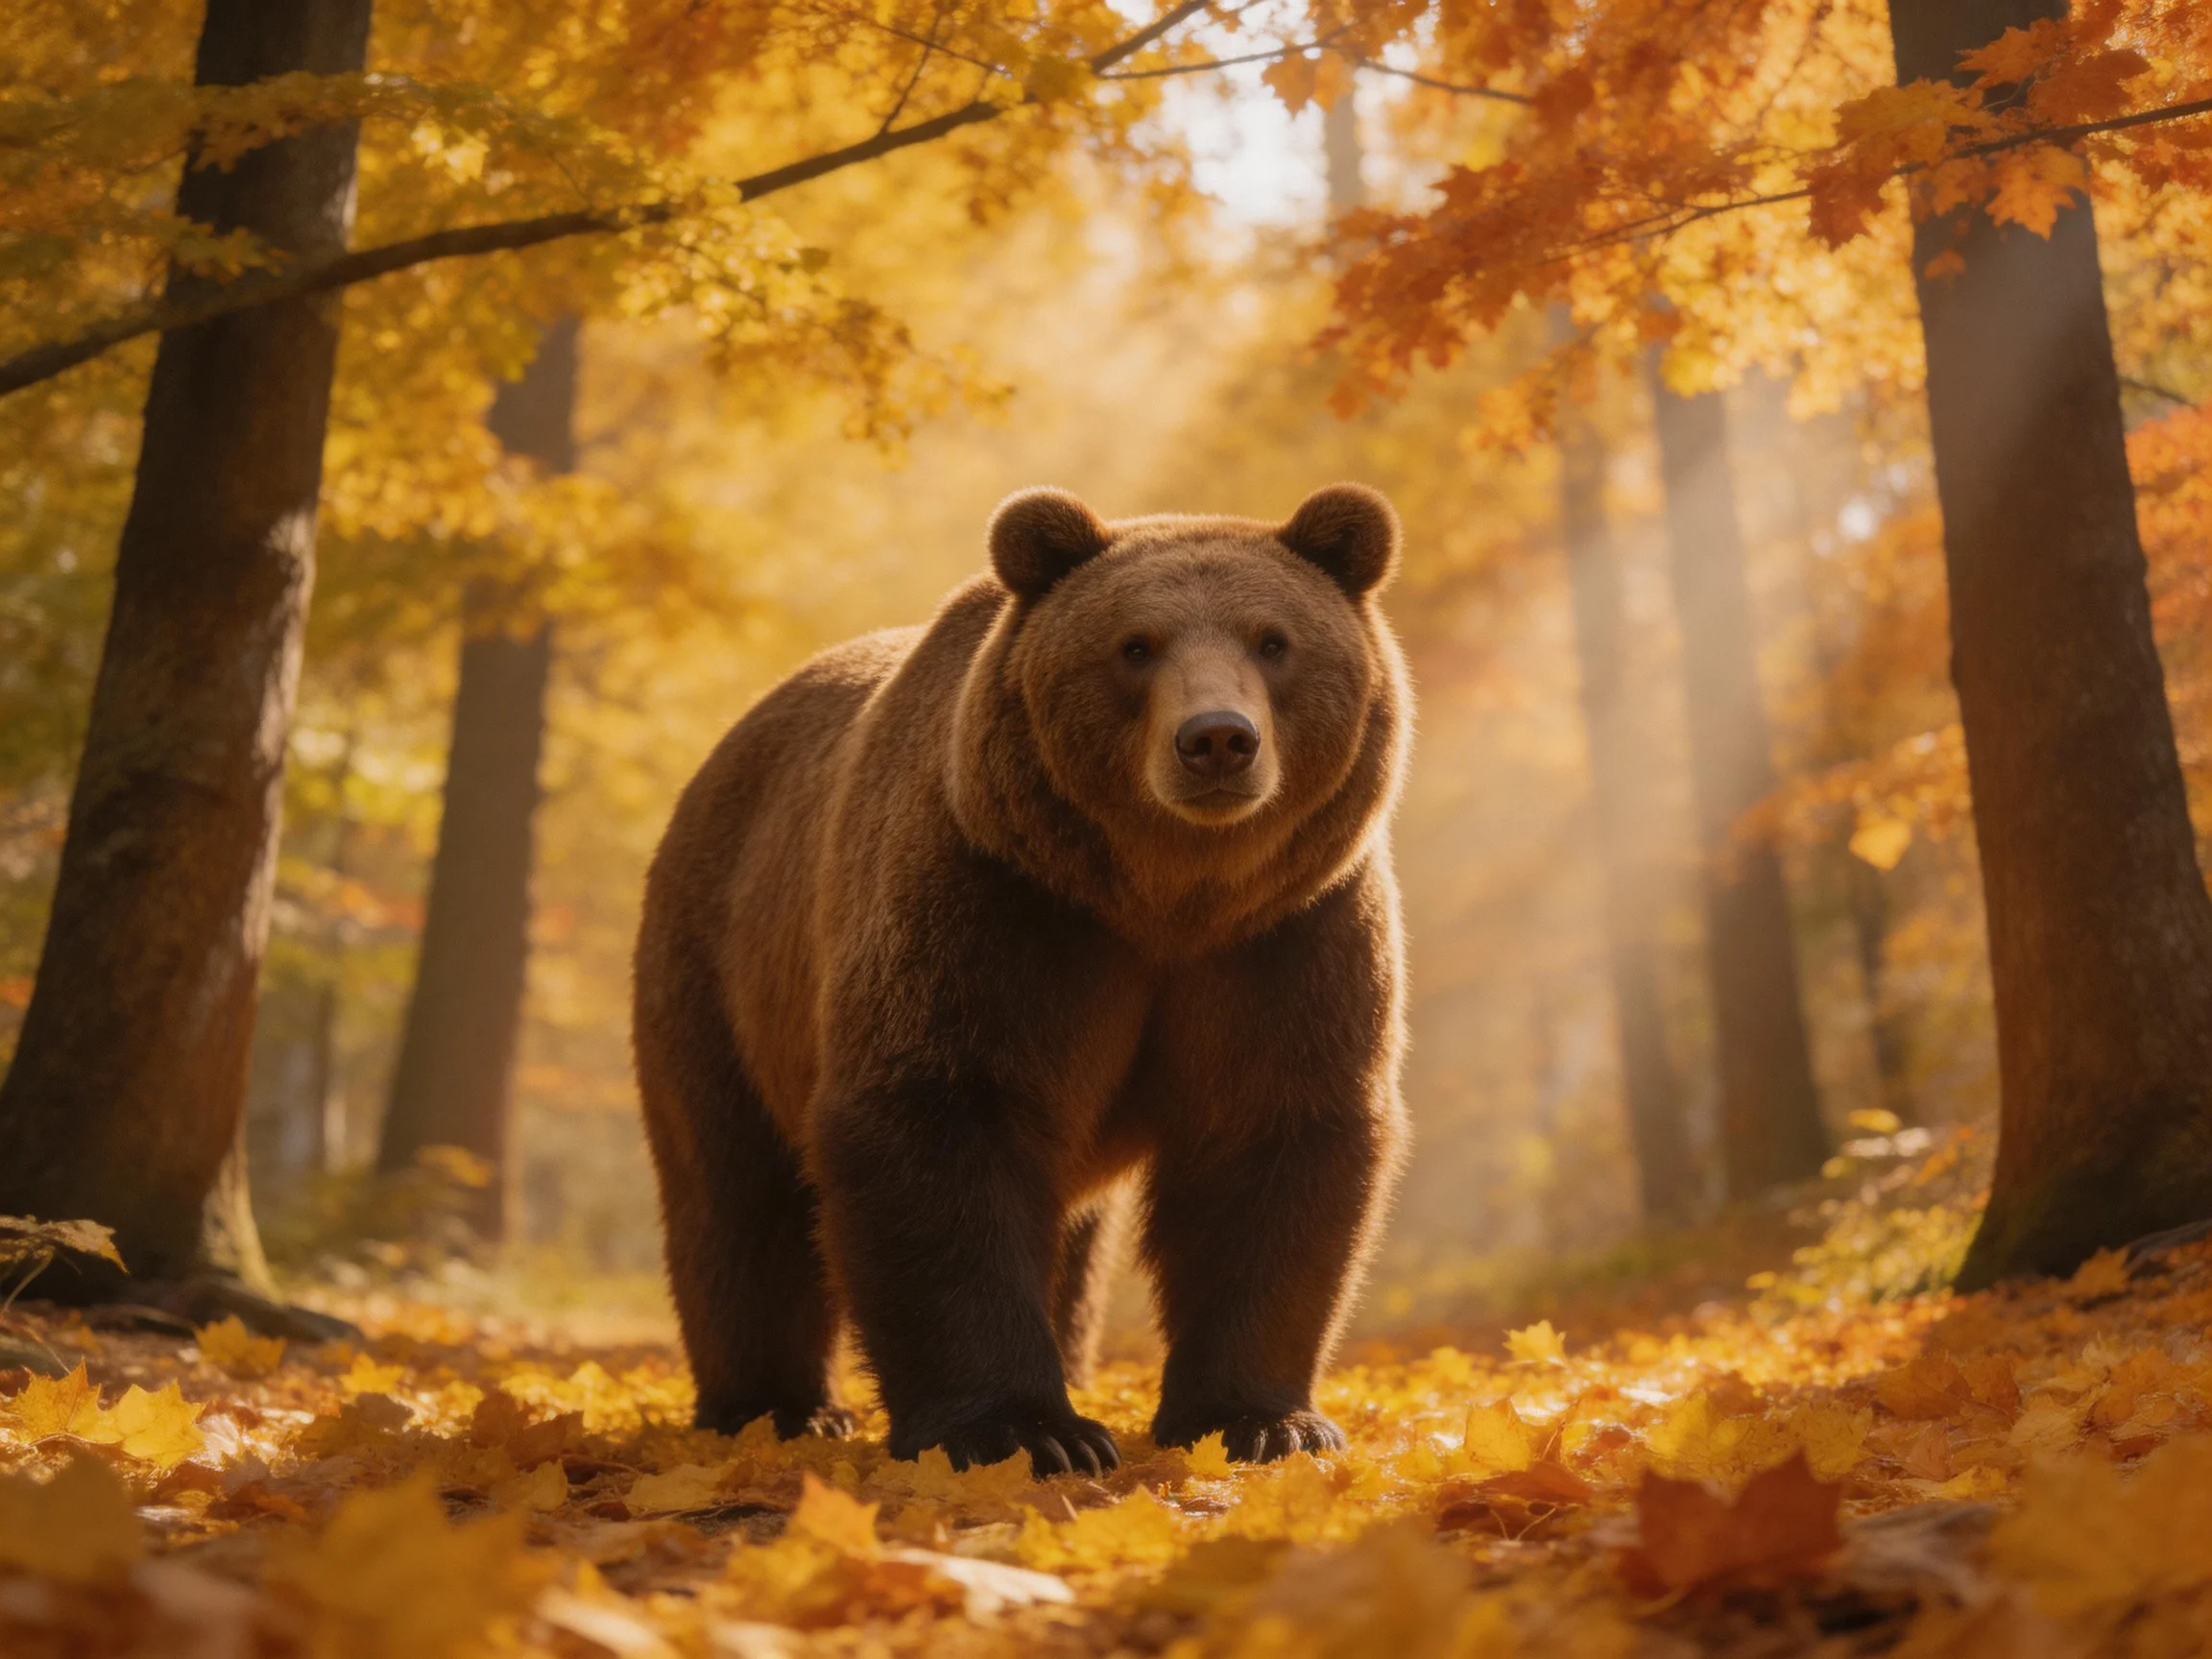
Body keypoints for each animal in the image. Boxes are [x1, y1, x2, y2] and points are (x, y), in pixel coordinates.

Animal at [633, 482, 1411, 1475]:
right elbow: (942, 1117)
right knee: (738, 1189)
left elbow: (1273, 1134)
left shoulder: (1286, 934)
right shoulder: (998, 906)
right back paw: (778, 1406)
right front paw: (1025, 1429)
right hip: (720, 962)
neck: (1164, 899)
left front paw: (1264, 1420)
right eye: (1135, 645)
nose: (1217, 740)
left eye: (1273, 640)